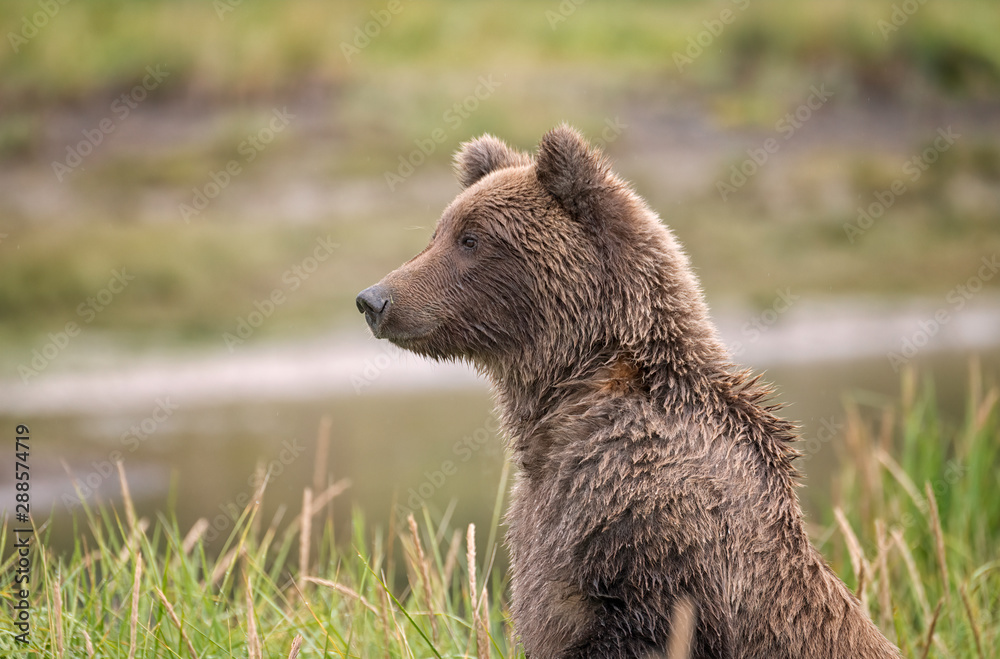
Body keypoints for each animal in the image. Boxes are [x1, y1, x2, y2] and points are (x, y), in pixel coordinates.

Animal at [356, 125, 901, 659]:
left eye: (470, 238)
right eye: (437, 233)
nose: (373, 299)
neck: (577, 392)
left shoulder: (653, 512)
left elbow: (642, 621)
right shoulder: (547, 512)